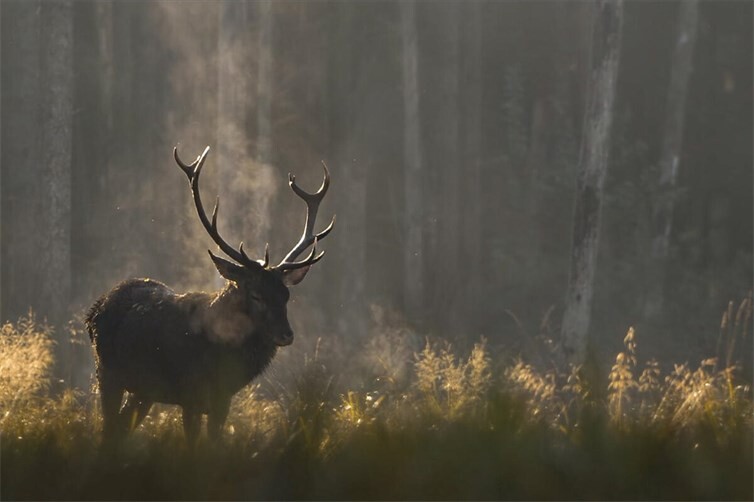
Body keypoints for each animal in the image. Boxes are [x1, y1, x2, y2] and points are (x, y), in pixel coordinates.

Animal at [86, 145, 334, 446]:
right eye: (256, 295)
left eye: (286, 295)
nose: (286, 334)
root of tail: (94, 309)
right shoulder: (190, 396)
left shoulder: (221, 401)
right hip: (106, 374)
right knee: (108, 429)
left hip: (143, 391)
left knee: (121, 429)